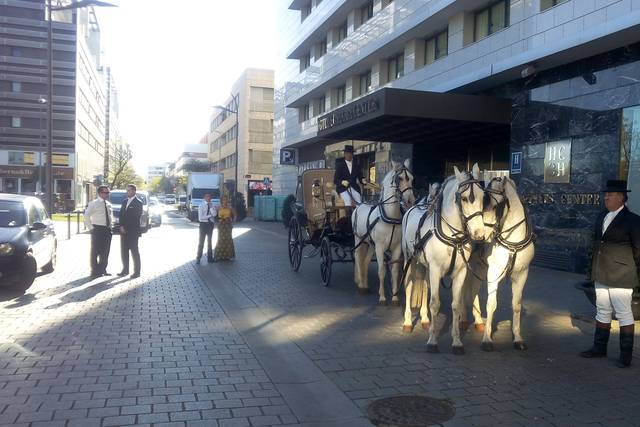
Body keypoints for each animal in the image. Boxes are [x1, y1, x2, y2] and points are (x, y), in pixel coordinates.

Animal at [350, 160, 416, 304]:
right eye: (399, 178)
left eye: (412, 178)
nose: (410, 200)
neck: (391, 217)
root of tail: (360, 204)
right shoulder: (380, 247)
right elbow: (381, 271)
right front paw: (382, 297)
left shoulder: (396, 248)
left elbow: (395, 272)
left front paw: (395, 297)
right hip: (358, 239)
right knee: (358, 258)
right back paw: (360, 284)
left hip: (370, 244)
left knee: (365, 261)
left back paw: (364, 284)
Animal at [402, 164, 482, 354]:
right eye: (465, 198)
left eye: (484, 197)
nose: (479, 233)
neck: (453, 236)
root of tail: (412, 207)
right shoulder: (436, 270)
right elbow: (435, 303)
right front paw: (432, 341)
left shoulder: (460, 272)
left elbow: (456, 304)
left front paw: (457, 342)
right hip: (410, 260)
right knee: (408, 287)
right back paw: (407, 322)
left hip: (425, 266)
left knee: (424, 286)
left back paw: (424, 320)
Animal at [462, 176, 536, 352]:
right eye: (483, 204)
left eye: (497, 205)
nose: (481, 235)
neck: (513, 242)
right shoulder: (494, 273)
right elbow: (491, 304)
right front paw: (487, 339)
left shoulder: (522, 274)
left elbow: (516, 305)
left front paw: (518, 338)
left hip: (480, 268)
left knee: (473, 290)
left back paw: (478, 321)